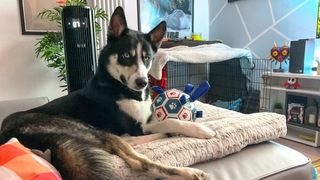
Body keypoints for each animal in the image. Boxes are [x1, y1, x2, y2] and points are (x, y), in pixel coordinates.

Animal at [1, 6, 215, 179]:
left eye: (147, 57)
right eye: (126, 55)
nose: (142, 82)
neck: (119, 87)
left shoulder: (145, 120)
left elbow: (162, 120)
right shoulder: (138, 126)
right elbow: (169, 120)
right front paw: (201, 130)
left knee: (128, 143)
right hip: (85, 128)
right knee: (137, 159)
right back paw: (190, 172)